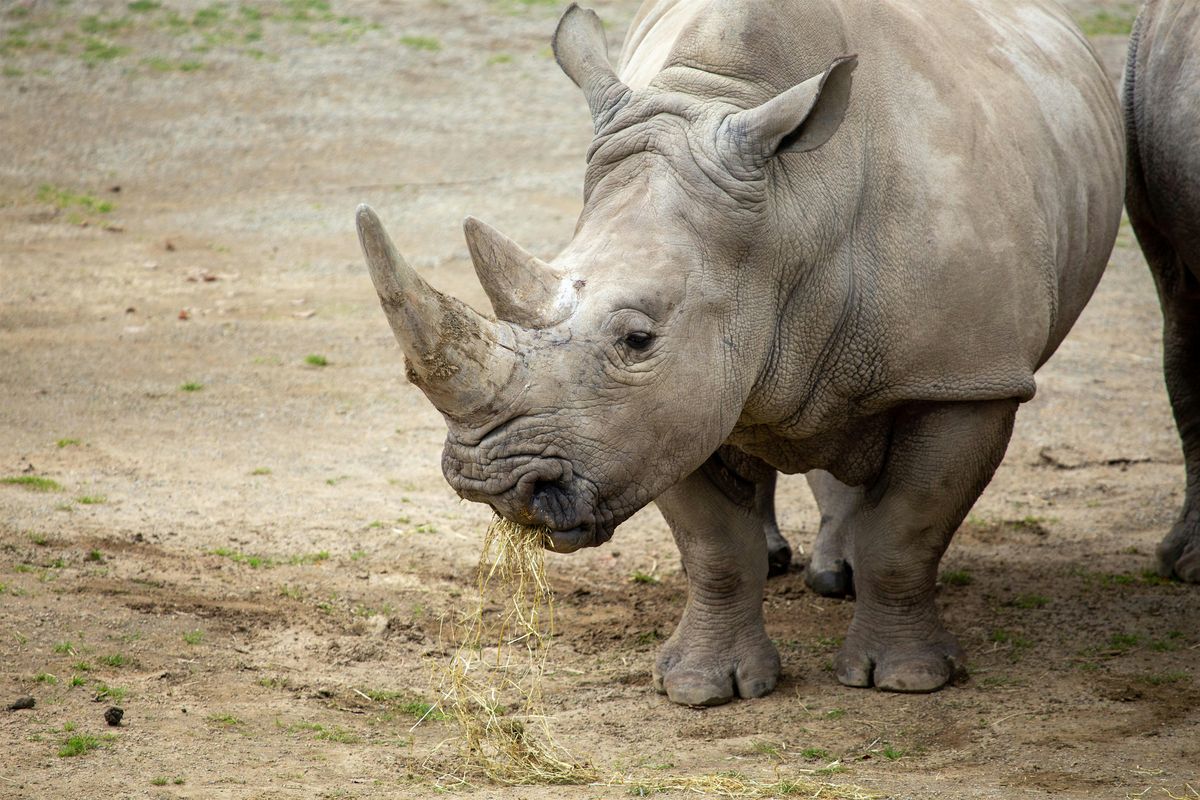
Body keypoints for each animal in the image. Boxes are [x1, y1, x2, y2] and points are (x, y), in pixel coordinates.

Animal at [352, 0, 1123, 705]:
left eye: (637, 339)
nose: (489, 486)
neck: (788, 212)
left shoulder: (965, 375)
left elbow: (908, 529)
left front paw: (907, 680)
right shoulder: (667, 411)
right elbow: (715, 546)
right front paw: (700, 688)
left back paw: (837, 579)